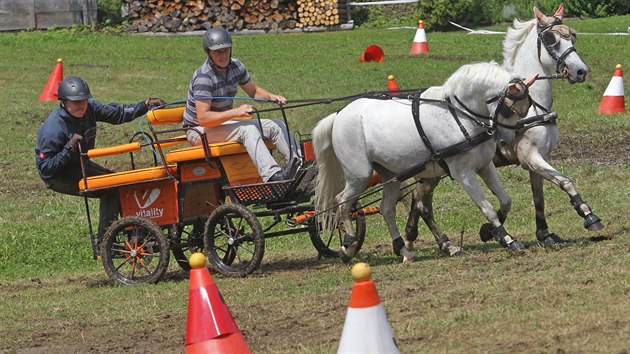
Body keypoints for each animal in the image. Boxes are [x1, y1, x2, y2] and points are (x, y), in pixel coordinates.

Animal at [314, 61, 536, 262]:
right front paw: (507, 239)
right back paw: (349, 246)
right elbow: (487, 208)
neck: (458, 116)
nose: (505, 141)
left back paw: (403, 250)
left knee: (387, 209)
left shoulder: (484, 165)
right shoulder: (464, 173)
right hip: (359, 175)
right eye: (509, 109)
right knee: (342, 202)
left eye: (525, 109)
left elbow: (505, 201)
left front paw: (490, 232)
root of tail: (339, 115)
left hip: (390, 175)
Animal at [404, 4, 604, 254]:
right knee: (422, 203)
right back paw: (441, 242)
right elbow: (565, 181)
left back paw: (414, 237)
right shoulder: (531, 157)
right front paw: (589, 216)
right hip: (432, 173)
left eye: (573, 35)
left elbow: (539, 197)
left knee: (418, 201)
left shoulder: (538, 159)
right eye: (551, 39)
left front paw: (544, 233)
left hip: (432, 173)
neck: (532, 106)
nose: (580, 71)